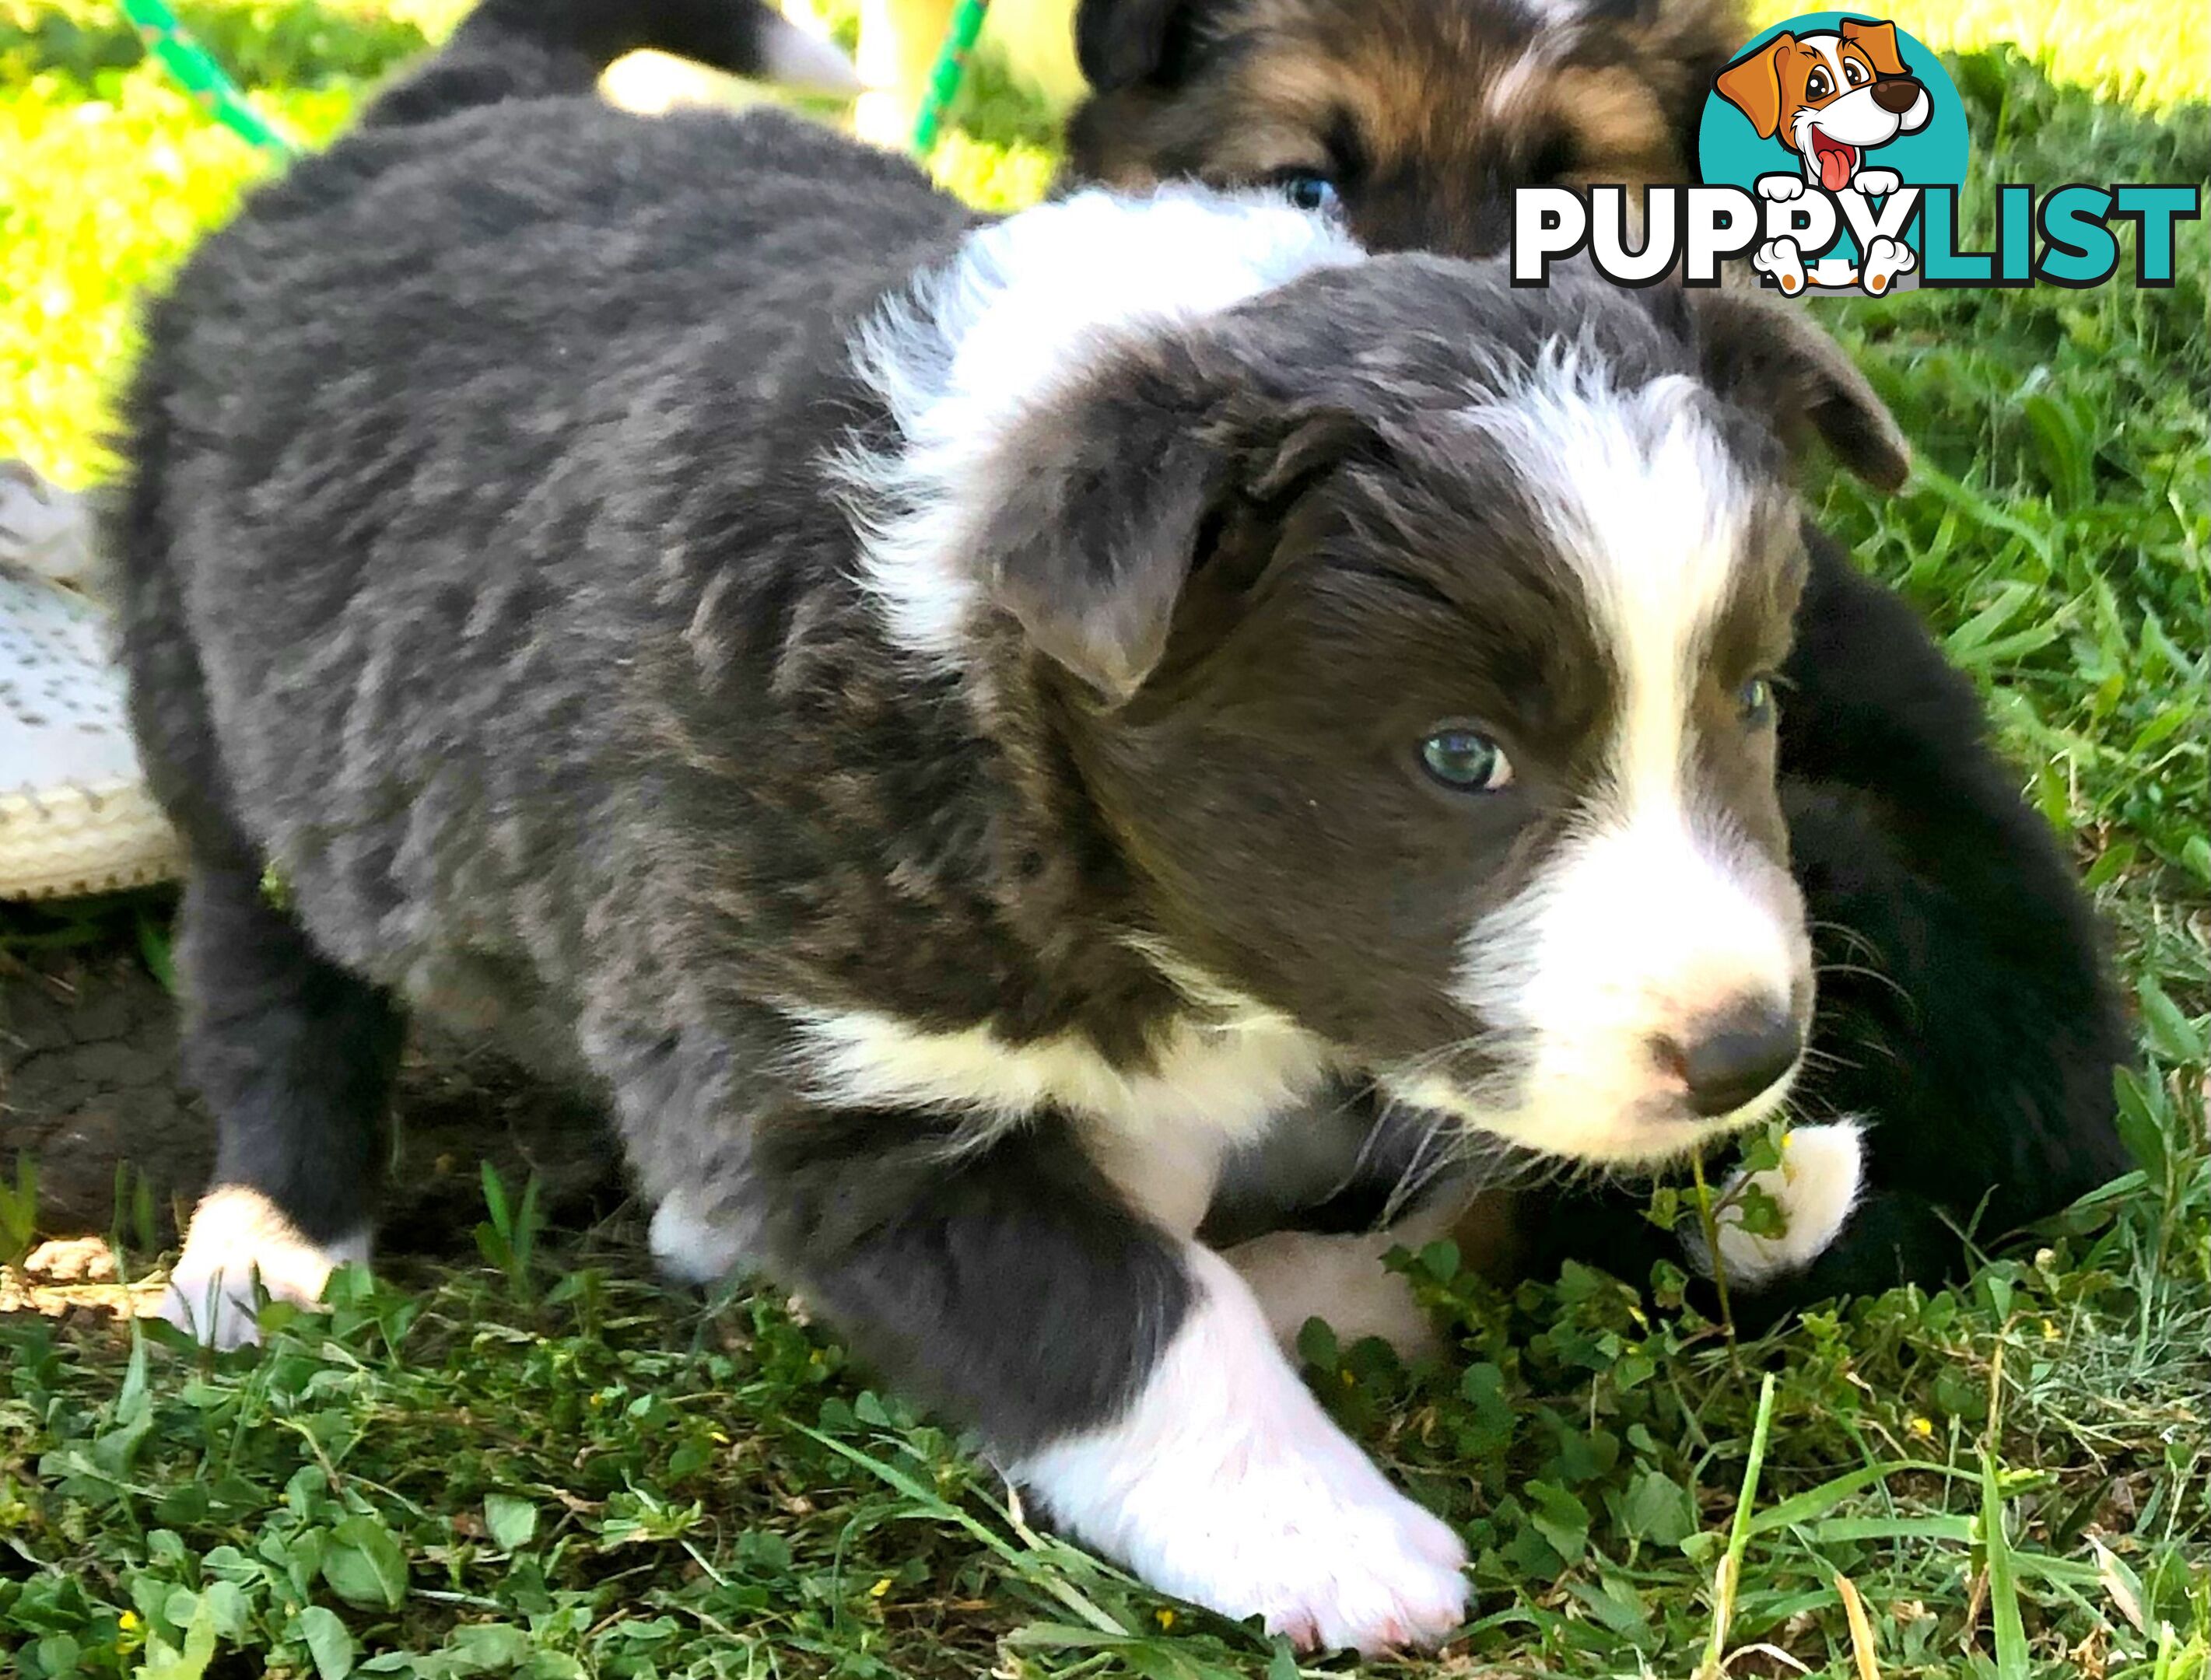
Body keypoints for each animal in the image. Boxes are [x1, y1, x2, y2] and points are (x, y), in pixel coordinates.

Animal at [129, 0, 1910, 1653]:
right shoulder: (829, 1070)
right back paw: (273, 1241)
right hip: (218, 717)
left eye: (1751, 696)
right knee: (266, 976)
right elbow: (1132, 1317)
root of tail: (453, 101)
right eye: (1459, 757)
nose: (1746, 1050)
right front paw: (1325, 1537)